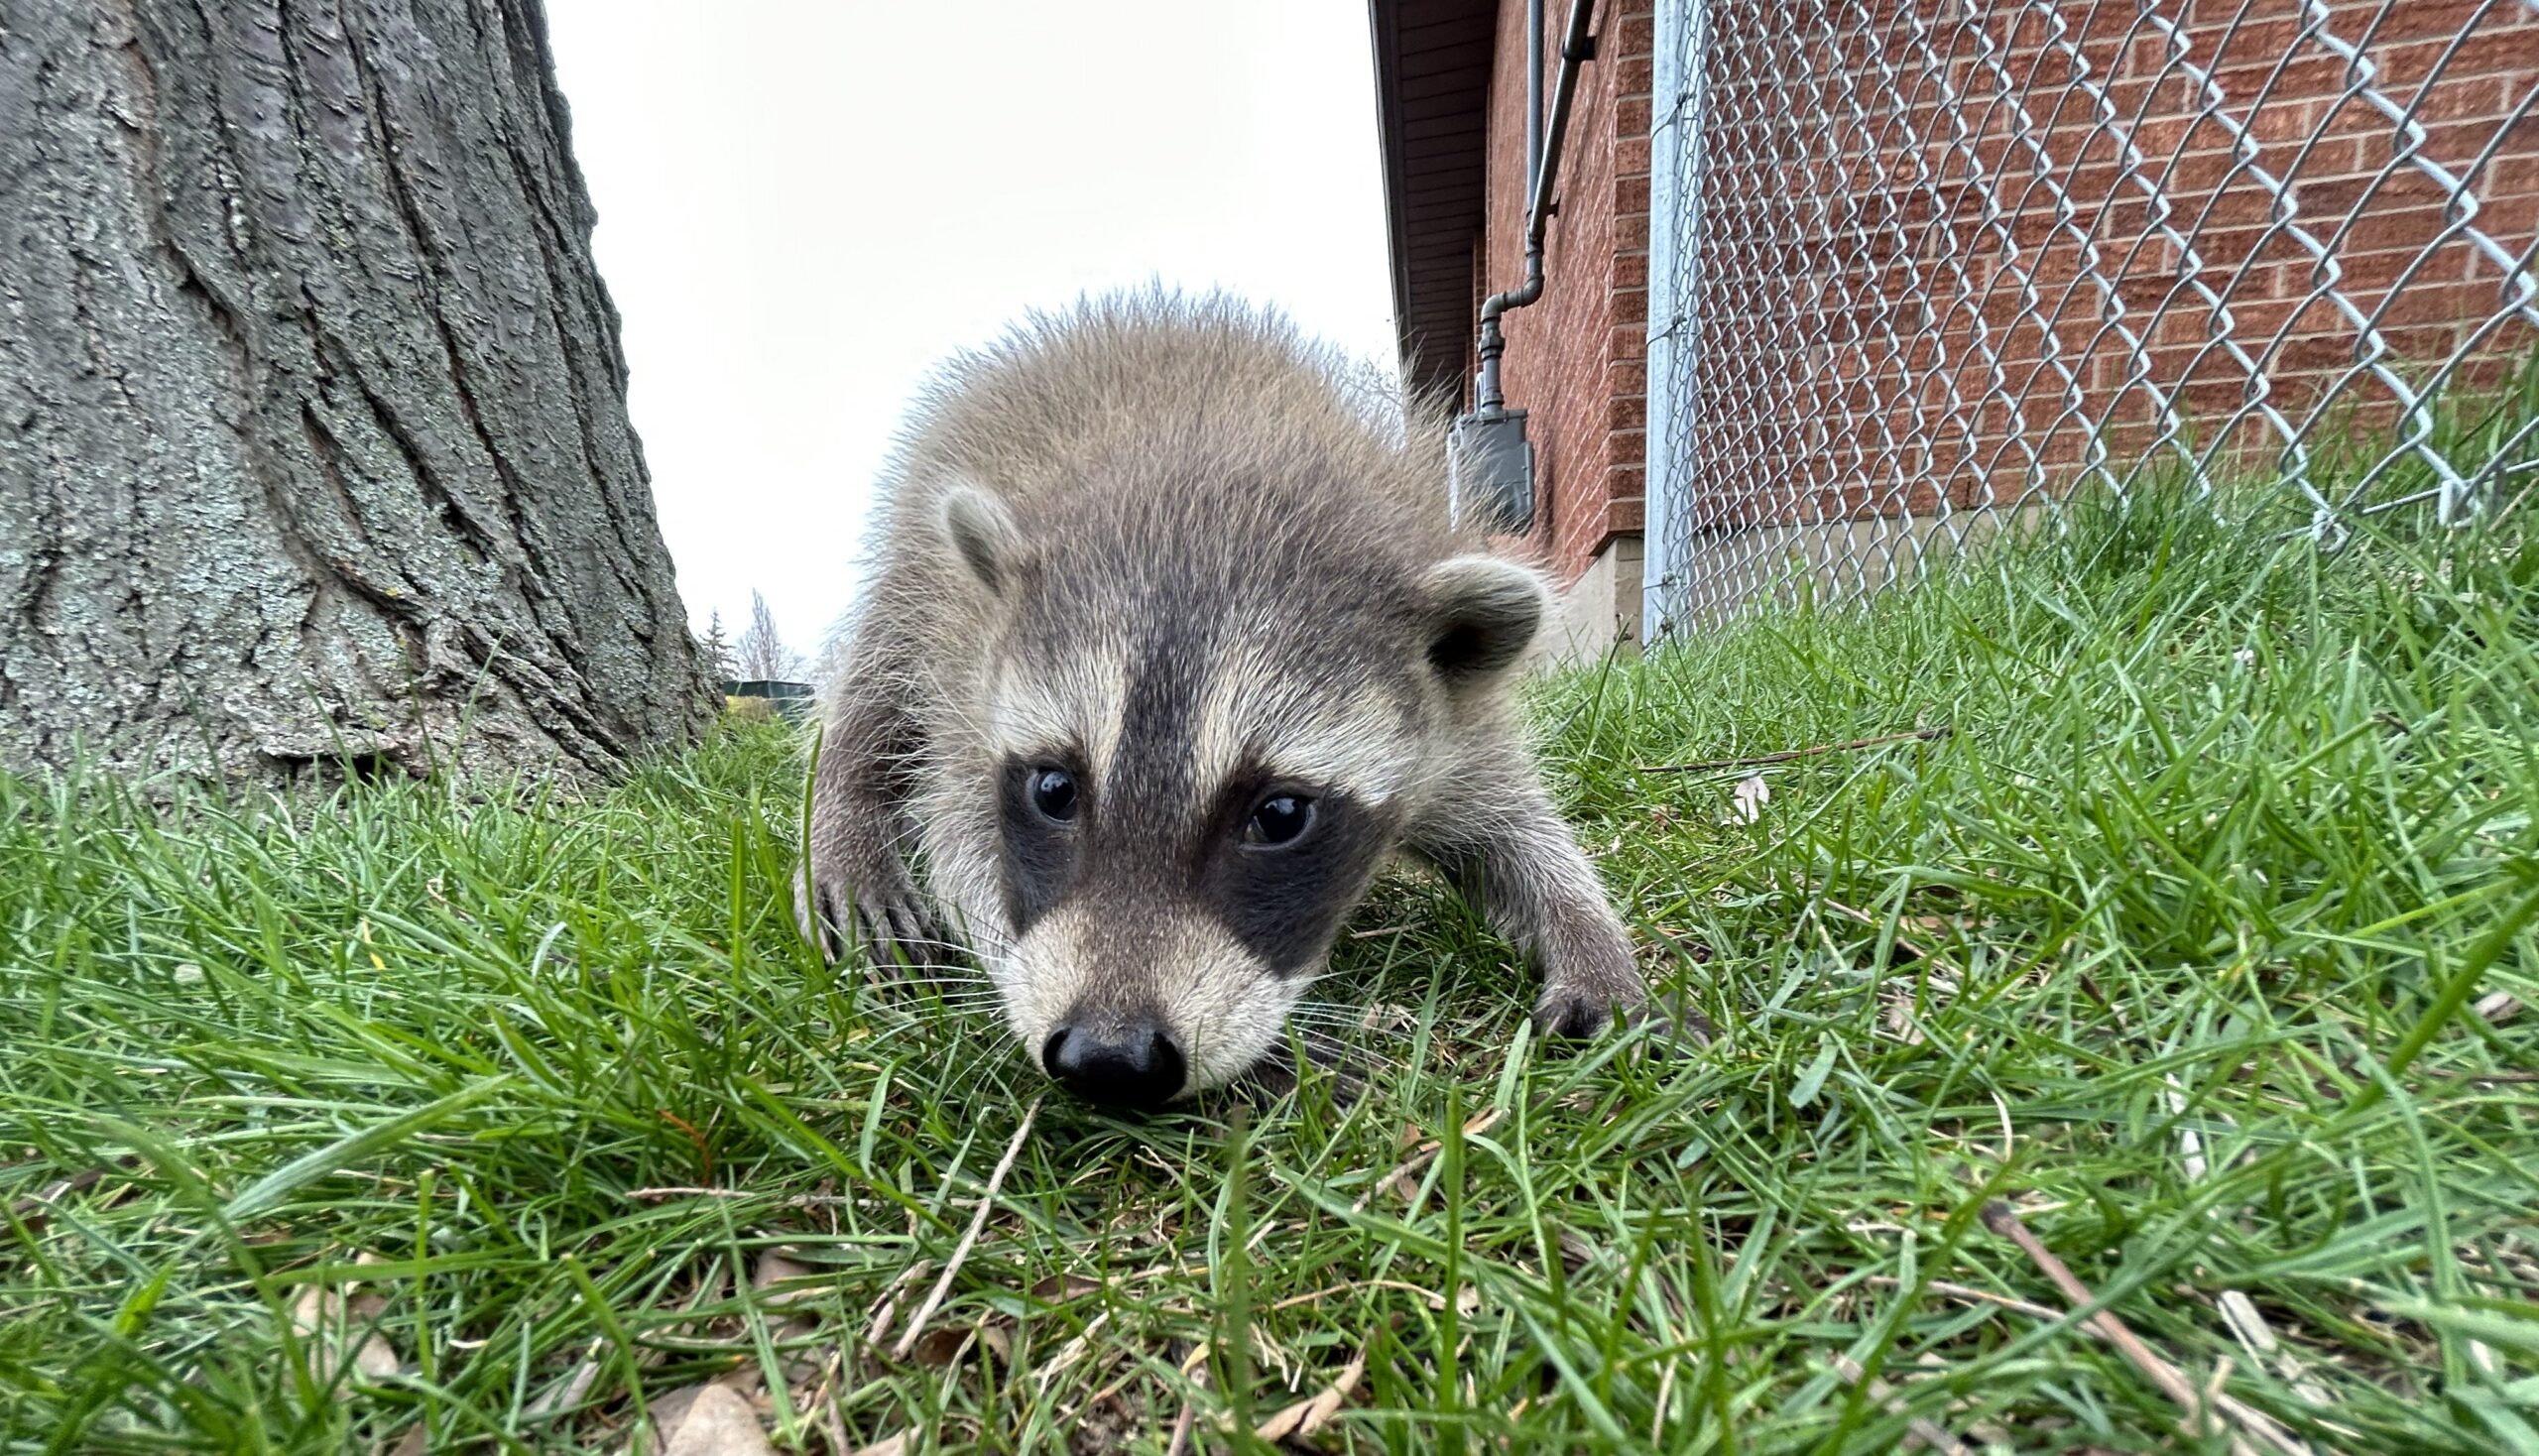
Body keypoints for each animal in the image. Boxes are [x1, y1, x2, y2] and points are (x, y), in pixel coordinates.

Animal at [801, 299, 1655, 1113]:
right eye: (1053, 789)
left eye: (1280, 815)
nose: (1108, 1057)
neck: (1213, 470)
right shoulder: (969, 681)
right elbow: (964, 838)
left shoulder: (1455, 716)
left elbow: (1515, 828)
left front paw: (1588, 937)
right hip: (924, 558)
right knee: (878, 680)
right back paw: (847, 816)